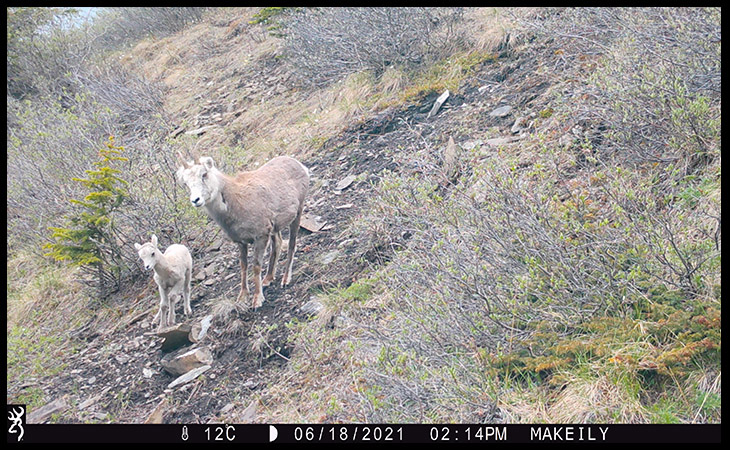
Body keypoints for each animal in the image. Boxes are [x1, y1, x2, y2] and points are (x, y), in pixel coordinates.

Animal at [176, 153, 309, 309]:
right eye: (186, 183)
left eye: (204, 174)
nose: (195, 200)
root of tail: (301, 166)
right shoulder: (241, 241)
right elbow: (243, 267)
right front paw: (243, 297)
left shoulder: (261, 236)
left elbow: (256, 266)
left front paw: (257, 300)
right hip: (275, 228)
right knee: (277, 244)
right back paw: (268, 279)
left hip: (298, 212)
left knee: (292, 244)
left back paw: (285, 279)